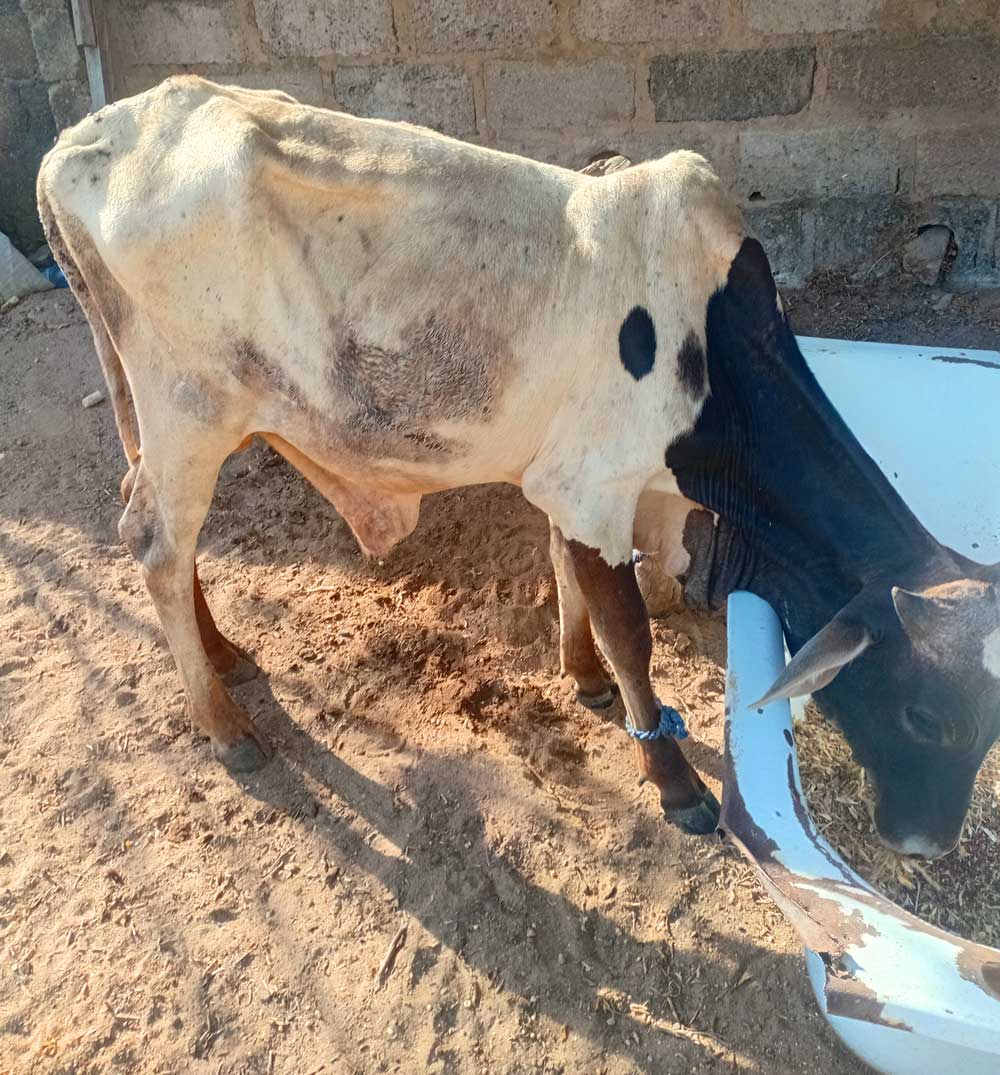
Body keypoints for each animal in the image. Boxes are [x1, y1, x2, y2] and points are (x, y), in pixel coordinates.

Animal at [38, 77, 1000, 858]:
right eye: (928, 715)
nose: (927, 843)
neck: (717, 356)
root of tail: (82, 140)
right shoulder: (596, 488)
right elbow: (631, 633)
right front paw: (675, 782)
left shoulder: (578, 484)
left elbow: (569, 580)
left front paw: (582, 678)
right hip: (190, 411)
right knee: (157, 542)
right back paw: (223, 721)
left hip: (152, 414)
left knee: (154, 522)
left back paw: (227, 652)